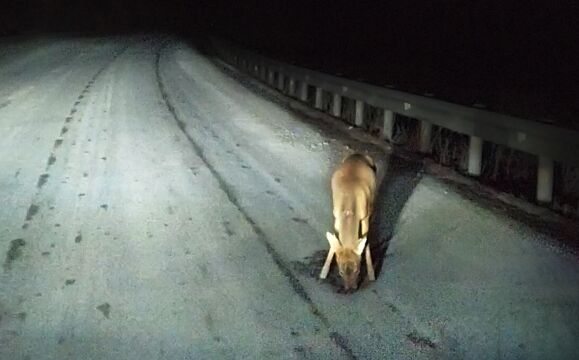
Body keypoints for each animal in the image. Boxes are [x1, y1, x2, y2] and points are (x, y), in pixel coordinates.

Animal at [320, 152, 378, 290]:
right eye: (341, 272)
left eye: (357, 270)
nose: (350, 288)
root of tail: (358, 154)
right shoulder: (336, 215)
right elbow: (334, 242)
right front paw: (324, 271)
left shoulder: (365, 216)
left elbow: (366, 242)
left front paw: (371, 273)